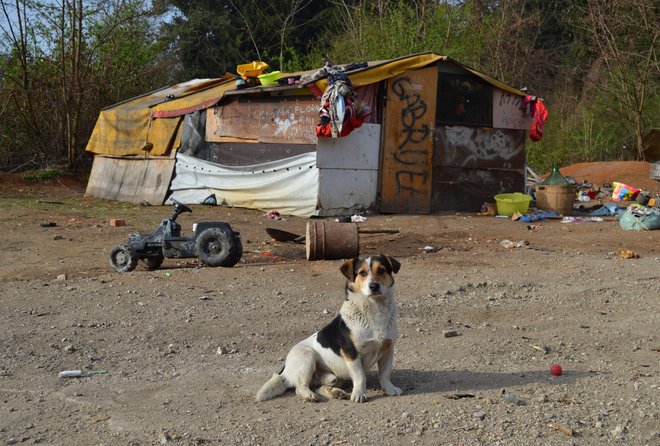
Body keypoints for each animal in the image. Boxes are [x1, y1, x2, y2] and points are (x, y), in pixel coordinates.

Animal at [256, 254, 402, 404]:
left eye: (381, 270)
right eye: (362, 273)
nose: (374, 286)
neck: (374, 310)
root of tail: (284, 371)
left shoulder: (388, 349)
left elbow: (385, 374)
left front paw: (390, 389)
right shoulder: (351, 353)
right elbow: (360, 376)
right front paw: (359, 394)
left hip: (333, 377)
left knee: (319, 387)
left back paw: (336, 393)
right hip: (307, 356)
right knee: (300, 387)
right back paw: (309, 395)